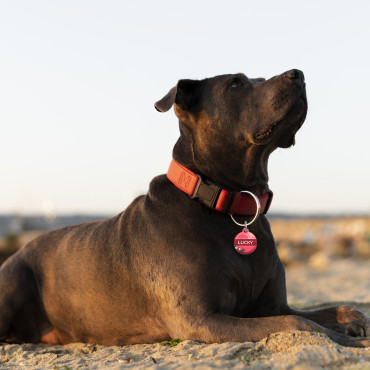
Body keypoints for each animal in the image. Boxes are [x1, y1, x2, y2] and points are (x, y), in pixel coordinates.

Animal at [0, 68, 368, 346]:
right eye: (236, 83)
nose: (299, 74)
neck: (232, 204)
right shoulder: (202, 319)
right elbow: (299, 325)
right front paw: (348, 341)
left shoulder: (273, 305)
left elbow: (331, 310)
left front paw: (354, 322)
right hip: (13, 282)